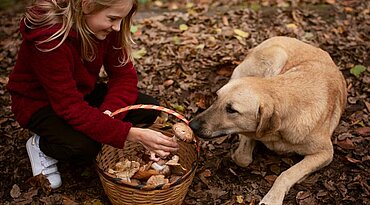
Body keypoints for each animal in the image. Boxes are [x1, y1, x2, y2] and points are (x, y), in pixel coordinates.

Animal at [189, 36, 348, 205]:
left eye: (231, 110)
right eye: (216, 98)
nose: (192, 125)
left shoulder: (326, 153)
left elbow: (287, 174)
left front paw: (273, 197)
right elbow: (243, 157)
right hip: (276, 57)